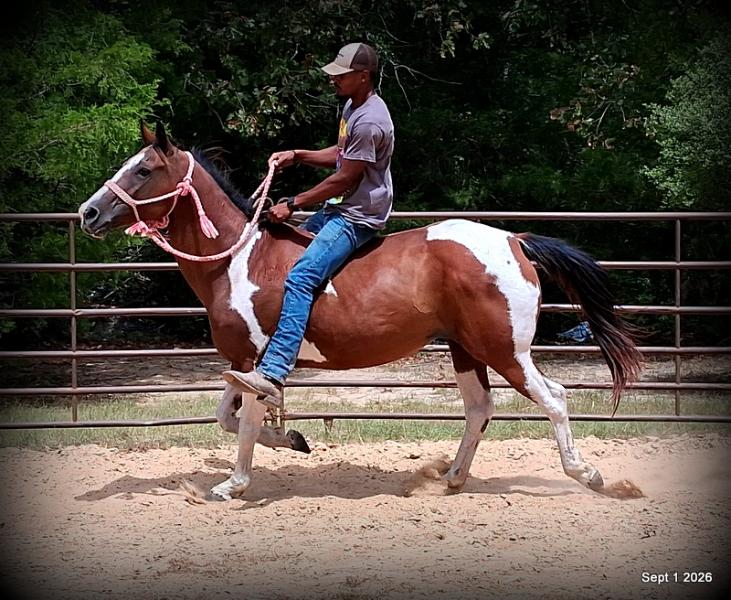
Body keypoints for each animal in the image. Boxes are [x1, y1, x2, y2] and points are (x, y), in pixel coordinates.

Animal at [78, 122, 642, 501]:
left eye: (144, 169)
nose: (88, 212)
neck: (238, 259)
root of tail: (514, 241)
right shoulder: (241, 361)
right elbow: (227, 417)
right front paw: (292, 439)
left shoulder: (254, 360)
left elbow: (245, 421)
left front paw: (233, 485)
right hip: (466, 349)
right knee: (480, 408)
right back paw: (451, 478)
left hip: (506, 349)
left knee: (555, 398)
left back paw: (589, 476)